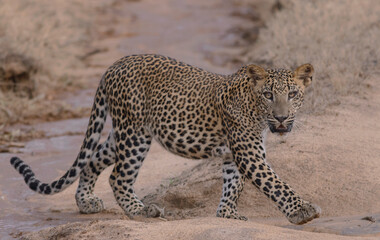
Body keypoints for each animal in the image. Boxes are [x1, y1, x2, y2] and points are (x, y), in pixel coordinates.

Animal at [10, 54, 320, 225]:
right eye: (268, 95)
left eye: (292, 94)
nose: (281, 118)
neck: (254, 107)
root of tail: (114, 65)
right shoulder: (249, 153)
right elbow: (275, 183)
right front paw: (302, 210)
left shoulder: (234, 155)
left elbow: (234, 185)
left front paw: (227, 214)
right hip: (135, 134)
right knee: (118, 176)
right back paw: (141, 211)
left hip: (120, 134)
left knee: (92, 161)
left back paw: (86, 202)